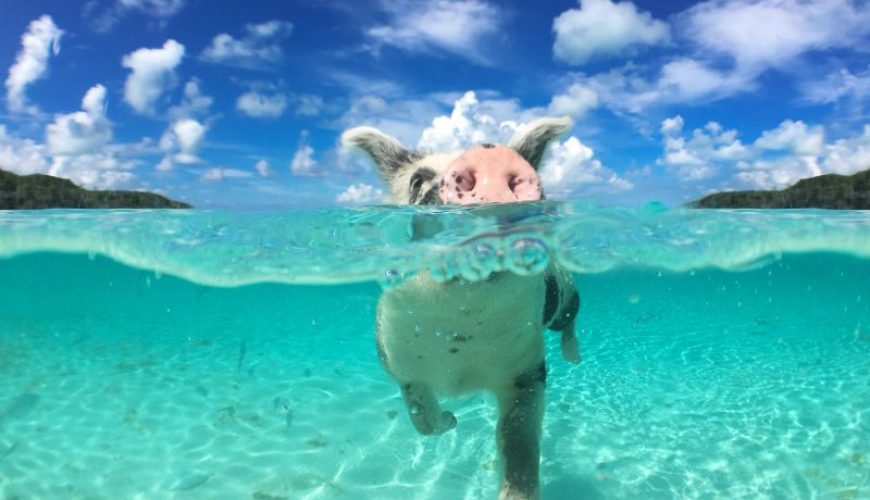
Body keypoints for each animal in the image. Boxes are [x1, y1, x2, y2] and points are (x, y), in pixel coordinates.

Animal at [342, 118, 580, 500]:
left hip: (564, 296)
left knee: (569, 321)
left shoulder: (528, 369)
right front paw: (452, 420)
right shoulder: (399, 360)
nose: (491, 155)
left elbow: (519, 436)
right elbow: (422, 417)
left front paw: (514, 493)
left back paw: (574, 357)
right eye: (417, 181)